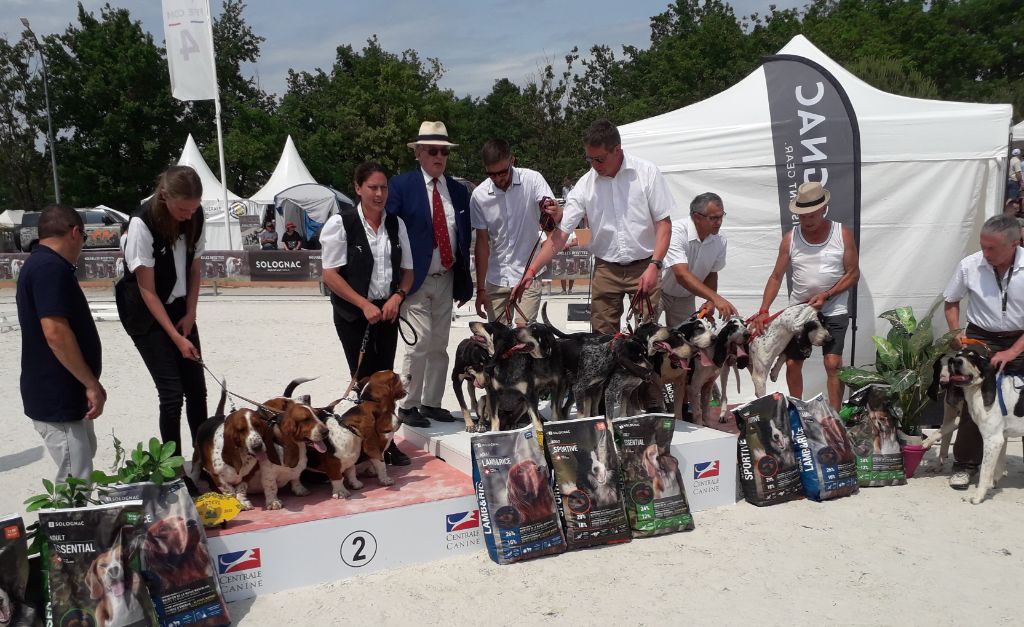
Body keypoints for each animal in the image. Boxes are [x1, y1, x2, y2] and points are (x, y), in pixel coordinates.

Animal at [929, 348, 1024, 504]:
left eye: (973, 358)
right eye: (957, 355)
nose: (956, 361)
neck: (979, 389)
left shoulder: (993, 440)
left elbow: (985, 472)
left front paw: (977, 496)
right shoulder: (1002, 439)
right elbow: (996, 468)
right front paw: (992, 485)